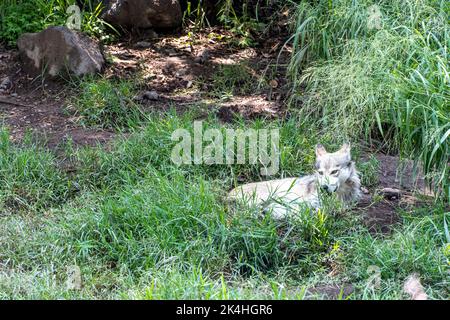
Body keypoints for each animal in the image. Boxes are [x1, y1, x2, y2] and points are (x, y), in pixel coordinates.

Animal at [229, 143, 362, 220]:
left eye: (334, 172)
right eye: (320, 173)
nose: (323, 187)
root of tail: (228, 194)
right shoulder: (305, 202)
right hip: (266, 197)